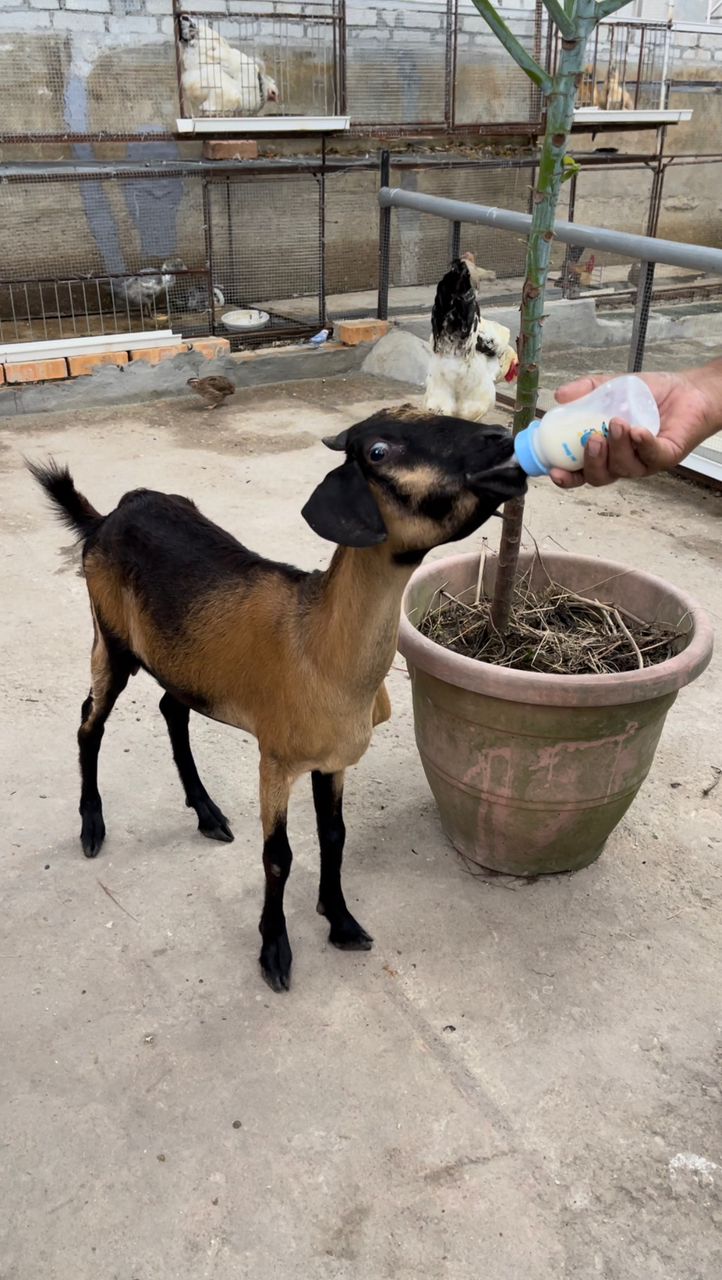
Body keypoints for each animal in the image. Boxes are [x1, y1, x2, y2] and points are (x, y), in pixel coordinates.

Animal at [29, 404, 524, 993]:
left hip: (182, 659)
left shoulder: (332, 761)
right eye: (378, 452)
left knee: (171, 709)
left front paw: (341, 921)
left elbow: (334, 835)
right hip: (110, 637)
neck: (319, 646)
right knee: (90, 723)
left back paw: (208, 813)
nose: (501, 441)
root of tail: (107, 516)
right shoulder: (276, 758)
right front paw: (274, 951)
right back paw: (92, 826)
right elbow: (278, 857)